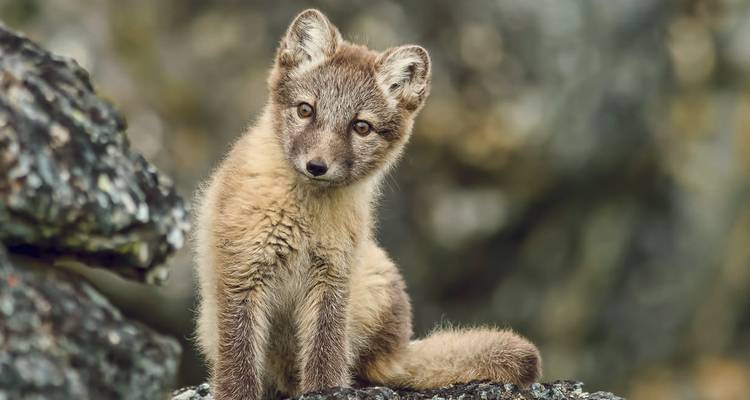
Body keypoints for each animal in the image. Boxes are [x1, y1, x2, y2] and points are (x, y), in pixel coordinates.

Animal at [193, 9, 542, 400]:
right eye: (305, 110)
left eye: (361, 127)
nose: (317, 166)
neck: (303, 221)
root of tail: (398, 350)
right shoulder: (242, 273)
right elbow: (237, 367)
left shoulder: (333, 279)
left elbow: (325, 355)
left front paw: (325, 390)